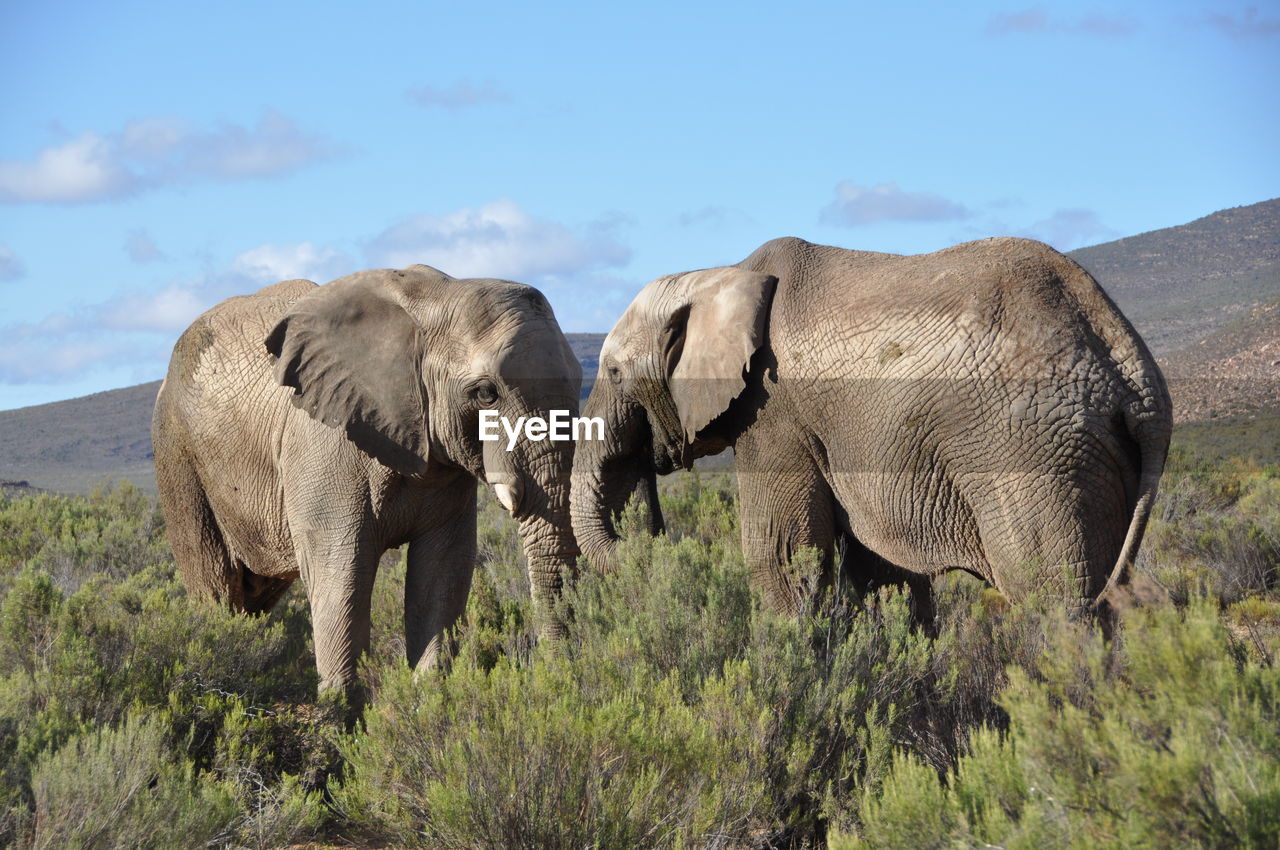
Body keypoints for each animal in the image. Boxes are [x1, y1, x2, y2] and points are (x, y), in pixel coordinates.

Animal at [151, 263, 586, 696]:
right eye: (485, 393)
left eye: (583, 381)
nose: (554, 677)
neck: (439, 298)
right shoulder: (325, 447)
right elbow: (342, 575)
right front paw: (340, 714)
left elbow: (443, 570)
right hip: (177, 453)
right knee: (218, 590)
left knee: (253, 596)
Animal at [576, 235, 1172, 622]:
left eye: (613, 372)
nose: (652, 539)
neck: (720, 275)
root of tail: (1134, 369)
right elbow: (883, 572)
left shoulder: (773, 412)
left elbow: (782, 558)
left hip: (1037, 452)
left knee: (1054, 599)